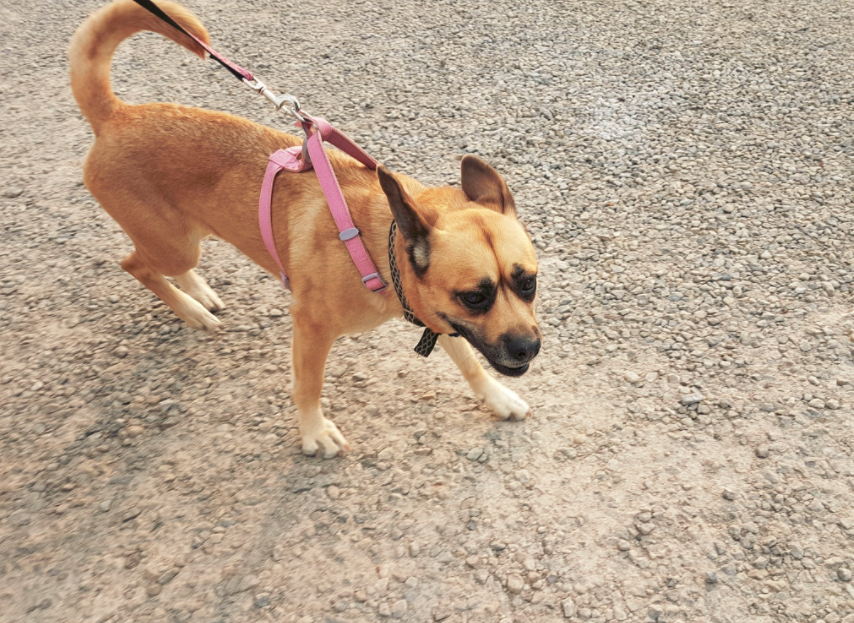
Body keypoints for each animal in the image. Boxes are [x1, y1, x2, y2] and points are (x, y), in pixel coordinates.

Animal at [72, 0, 540, 458]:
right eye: (474, 297)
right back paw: (191, 310)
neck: (376, 247)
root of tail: (117, 115)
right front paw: (314, 432)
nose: (529, 348)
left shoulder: (437, 316)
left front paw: (497, 398)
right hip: (174, 245)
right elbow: (309, 386)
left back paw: (198, 293)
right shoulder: (312, 328)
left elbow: (470, 361)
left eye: (529, 284)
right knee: (136, 264)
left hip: (186, 239)